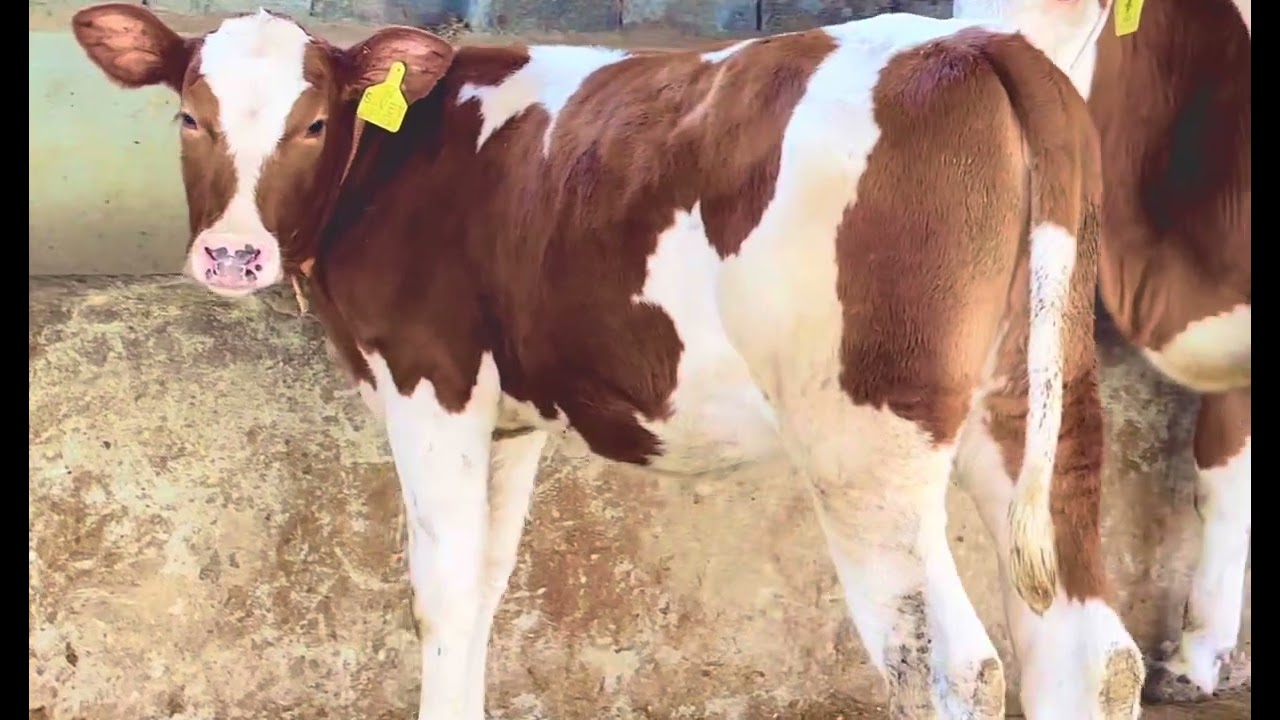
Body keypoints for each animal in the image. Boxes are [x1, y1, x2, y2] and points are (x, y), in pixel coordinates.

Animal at [70, 4, 1146, 718]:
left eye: (313, 123)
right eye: (189, 118)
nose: (232, 256)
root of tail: (975, 43)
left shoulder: (430, 381)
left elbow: (439, 593)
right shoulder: (508, 417)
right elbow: (486, 585)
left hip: (867, 434)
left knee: (949, 664)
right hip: (1036, 405)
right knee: (1086, 650)